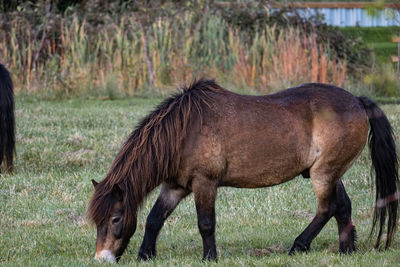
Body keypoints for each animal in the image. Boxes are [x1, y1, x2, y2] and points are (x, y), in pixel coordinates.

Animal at [86, 79, 396, 264]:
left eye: (115, 219)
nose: (102, 258)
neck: (185, 131)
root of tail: (357, 101)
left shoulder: (204, 183)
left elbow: (205, 223)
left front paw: (209, 258)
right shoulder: (175, 186)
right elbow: (154, 219)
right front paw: (145, 255)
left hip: (323, 173)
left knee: (326, 208)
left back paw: (299, 246)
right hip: (330, 172)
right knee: (342, 206)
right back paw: (346, 250)